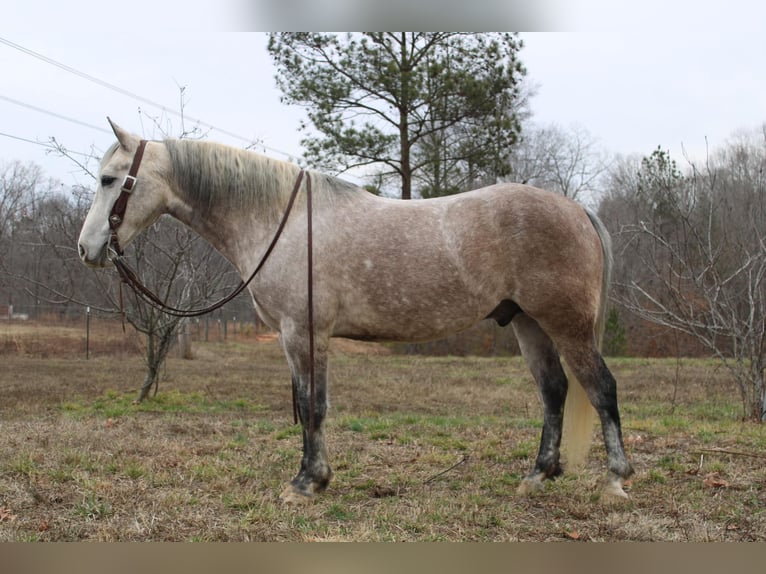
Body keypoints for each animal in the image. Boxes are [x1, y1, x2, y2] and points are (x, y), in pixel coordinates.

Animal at [79, 120, 636, 504]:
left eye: (109, 179)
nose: (87, 249)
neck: (279, 220)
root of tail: (577, 210)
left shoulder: (303, 333)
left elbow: (314, 405)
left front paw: (306, 483)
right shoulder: (296, 337)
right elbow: (308, 405)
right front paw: (314, 478)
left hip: (565, 325)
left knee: (601, 388)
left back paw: (615, 480)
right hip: (527, 323)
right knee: (555, 391)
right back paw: (538, 475)